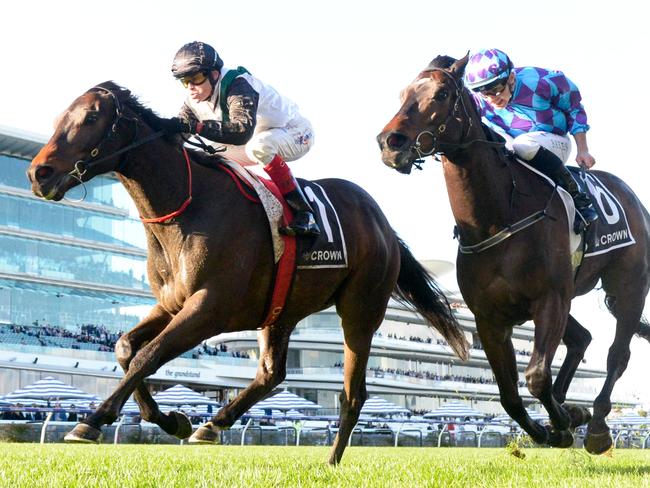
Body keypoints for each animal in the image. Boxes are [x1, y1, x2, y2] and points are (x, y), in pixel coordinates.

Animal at [27, 82, 468, 464]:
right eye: (60, 117)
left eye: (90, 117)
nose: (38, 173)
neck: (187, 206)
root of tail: (382, 223)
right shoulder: (171, 305)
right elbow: (125, 350)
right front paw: (171, 420)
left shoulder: (210, 308)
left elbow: (148, 356)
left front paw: (91, 420)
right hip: (282, 311)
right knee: (272, 374)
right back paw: (212, 425)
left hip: (361, 309)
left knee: (353, 393)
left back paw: (331, 459)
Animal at [374, 54, 648, 454]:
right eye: (402, 93)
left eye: (441, 94)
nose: (390, 143)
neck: (498, 219)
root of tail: (633, 198)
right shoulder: (489, 318)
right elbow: (509, 396)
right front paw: (554, 426)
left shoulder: (550, 299)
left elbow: (535, 376)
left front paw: (563, 424)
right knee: (581, 339)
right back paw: (571, 410)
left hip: (627, 285)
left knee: (618, 354)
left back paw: (596, 425)